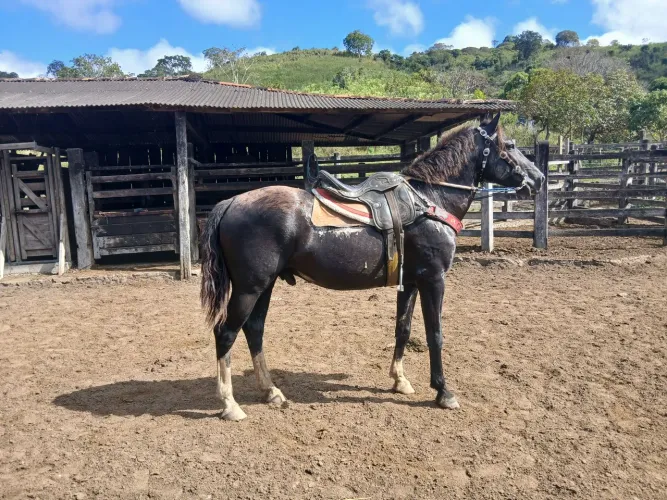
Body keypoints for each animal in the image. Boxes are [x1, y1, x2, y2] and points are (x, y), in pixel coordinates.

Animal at [200, 114, 544, 421]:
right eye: (510, 145)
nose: (539, 179)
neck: (430, 201)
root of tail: (230, 203)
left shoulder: (412, 282)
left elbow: (403, 329)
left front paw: (400, 380)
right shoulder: (434, 280)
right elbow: (435, 334)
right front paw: (443, 392)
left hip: (265, 285)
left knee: (254, 329)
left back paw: (271, 392)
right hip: (249, 288)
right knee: (226, 333)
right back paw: (230, 405)